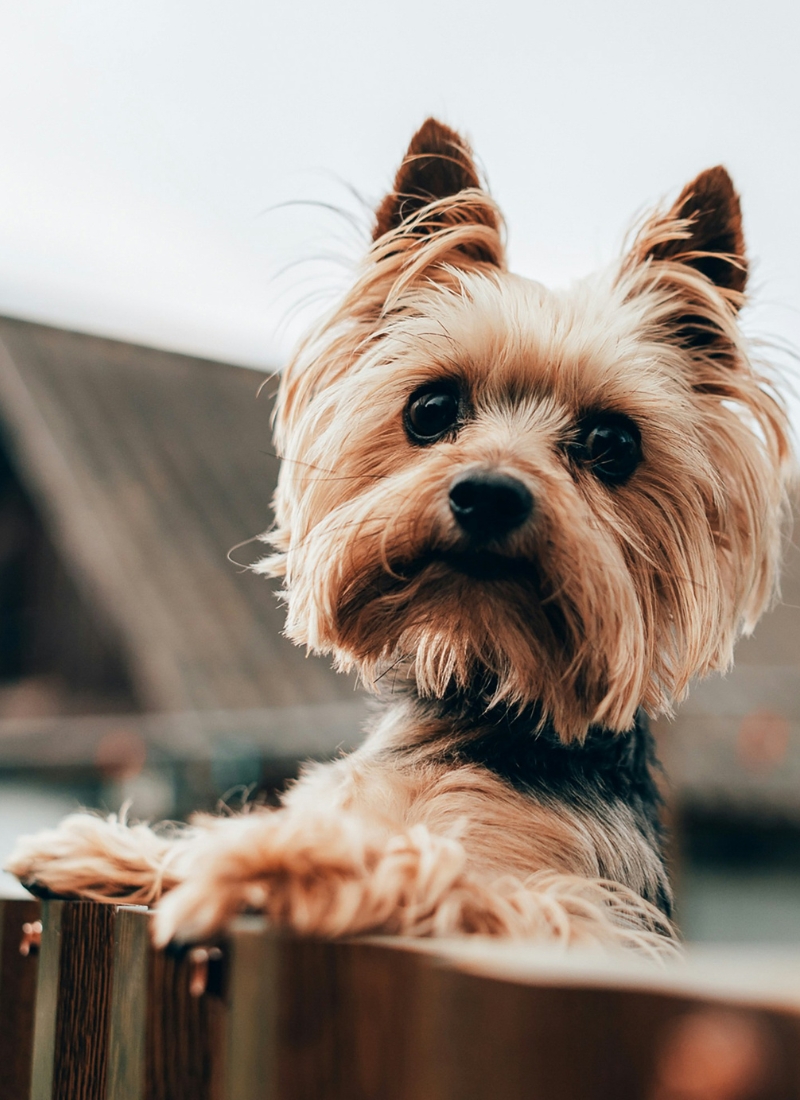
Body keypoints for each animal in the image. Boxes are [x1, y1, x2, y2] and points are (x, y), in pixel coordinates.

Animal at [7, 120, 796, 954]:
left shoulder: (581, 917)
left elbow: (426, 861)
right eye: (430, 408)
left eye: (613, 444)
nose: (490, 493)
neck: (478, 698)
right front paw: (105, 848)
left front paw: (253, 856)